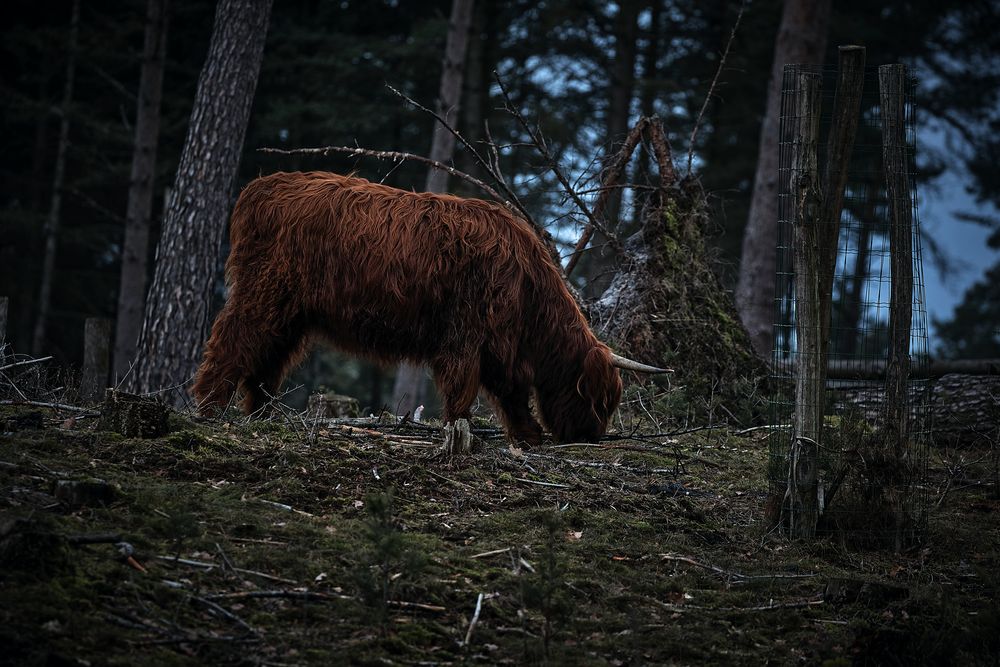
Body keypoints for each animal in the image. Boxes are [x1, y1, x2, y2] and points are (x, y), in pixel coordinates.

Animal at [193, 171, 664, 444]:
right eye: (602, 400)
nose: (591, 436)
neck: (529, 291)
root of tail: (261, 186)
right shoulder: (468, 335)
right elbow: (465, 387)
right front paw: (460, 427)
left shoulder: (496, 346)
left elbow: (509, 392)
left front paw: (526, 434)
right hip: (264, 292)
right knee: (231, 342)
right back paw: (210, 409)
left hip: (290, 312)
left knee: (267, 359)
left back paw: (264, 416)